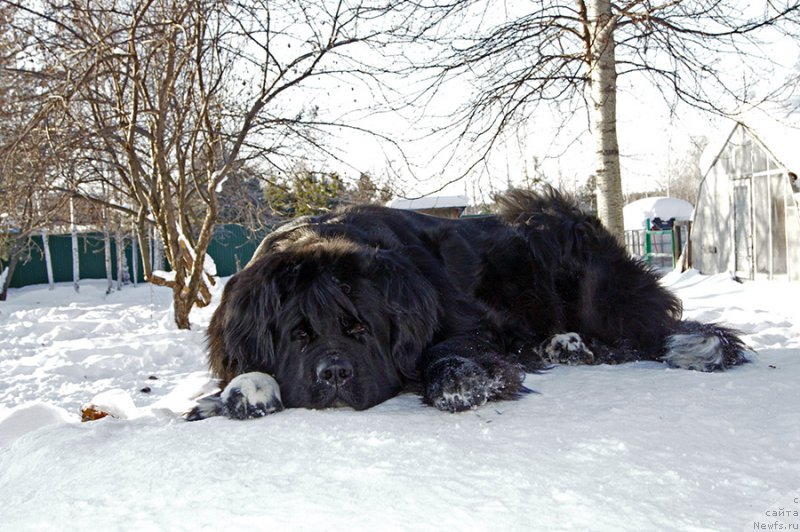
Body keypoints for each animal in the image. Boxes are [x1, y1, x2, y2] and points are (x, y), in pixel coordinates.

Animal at [184, 187, 748, 420]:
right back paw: (562, 346)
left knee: (653, 328)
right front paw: (242, 392)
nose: (335, 373)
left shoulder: (467, 322)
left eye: (361, 328)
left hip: (582, 274)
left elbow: (446, 350)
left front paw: (462, 381)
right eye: (298, 335)